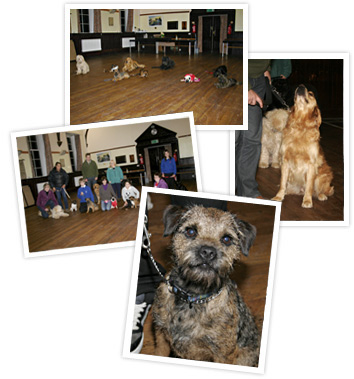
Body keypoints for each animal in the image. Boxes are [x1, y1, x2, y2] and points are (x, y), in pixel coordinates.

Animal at [152, 206, 260, 366]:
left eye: (227, 239)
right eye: (191, 231)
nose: (208, 252)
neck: (193, 297)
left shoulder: (222, 355)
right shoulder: (161, 338)